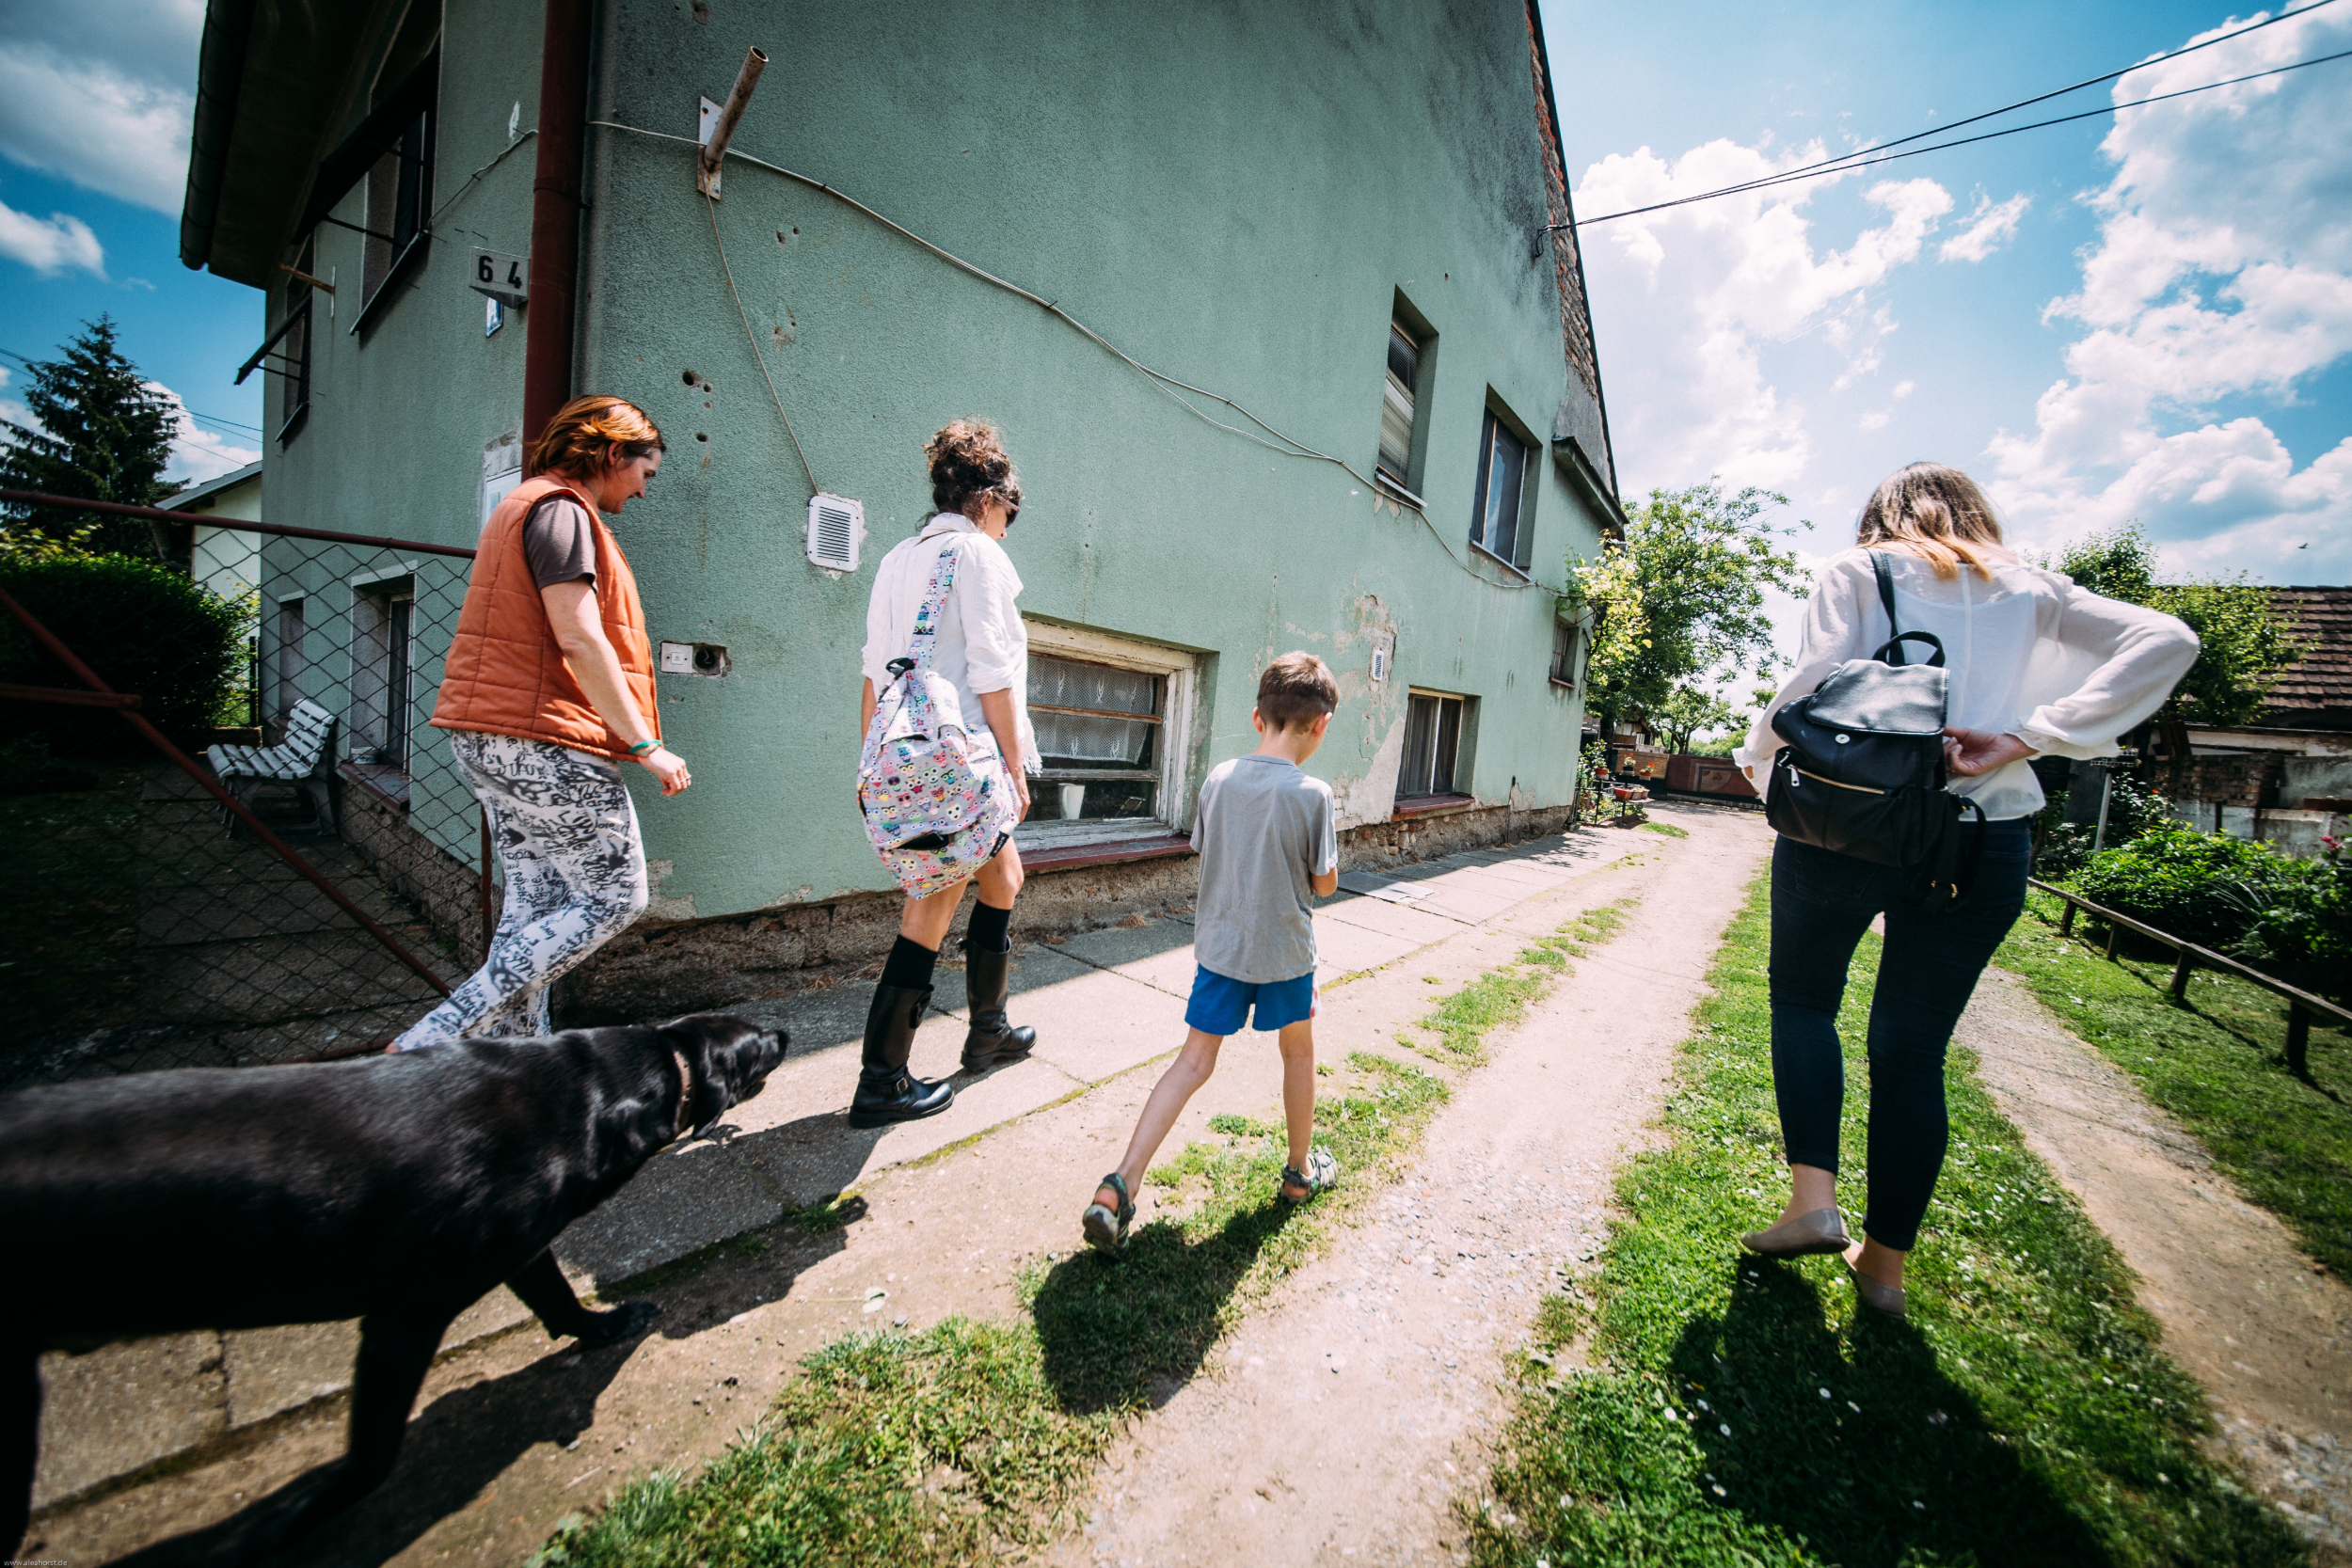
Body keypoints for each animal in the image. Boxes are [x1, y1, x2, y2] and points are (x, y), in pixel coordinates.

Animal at [1, 1012, 785, 1563]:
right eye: (754, 1046)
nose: (783, 1030)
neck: (590, 1088)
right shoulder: (405, 1317)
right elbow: (371, 1457)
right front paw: (289, 1519)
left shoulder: (517, 1249)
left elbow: (558, 1298)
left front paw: (606, 1326)